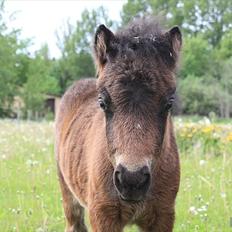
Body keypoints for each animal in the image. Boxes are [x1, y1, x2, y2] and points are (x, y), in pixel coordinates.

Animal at [55, 18, 181, 232]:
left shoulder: (163, 215)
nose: (132, 179)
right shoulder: (102, 215)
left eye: (169, 103)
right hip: (68, 193)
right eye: (102, 102)